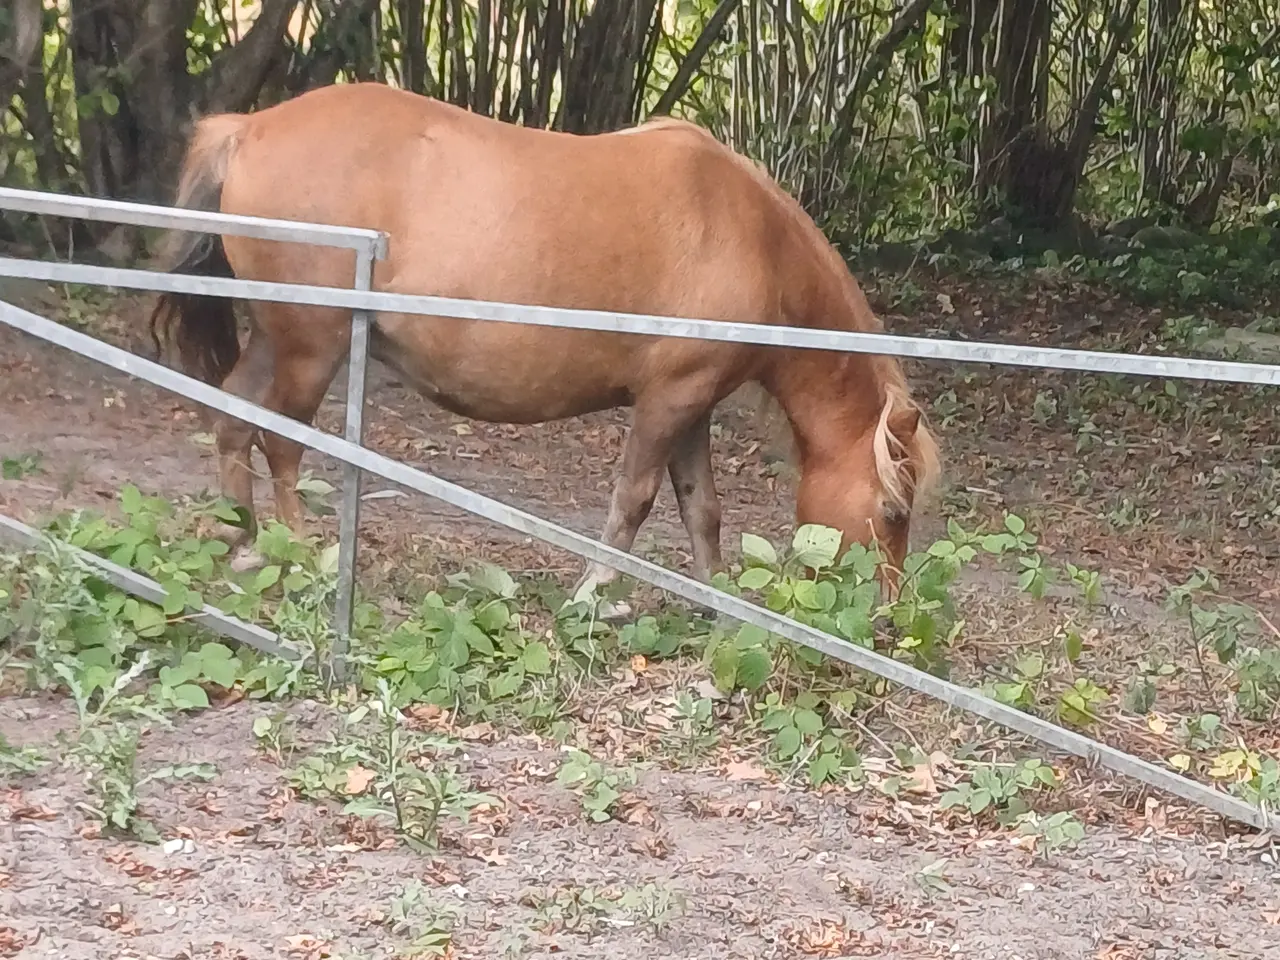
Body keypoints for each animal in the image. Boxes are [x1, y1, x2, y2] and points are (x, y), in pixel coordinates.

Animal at [149, 81, 939, 610]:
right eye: (893, 513)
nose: (886, 617)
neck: (749, 236)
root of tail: (248, 128)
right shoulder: (668, 402)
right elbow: (634, 501)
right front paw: (593, 595)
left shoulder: (692, 405)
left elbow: (701, 509)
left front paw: (715, 601)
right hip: (312, 346)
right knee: (281, 441)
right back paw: (306, 555)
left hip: (274, 337)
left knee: (233, 419)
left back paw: (243, 544)